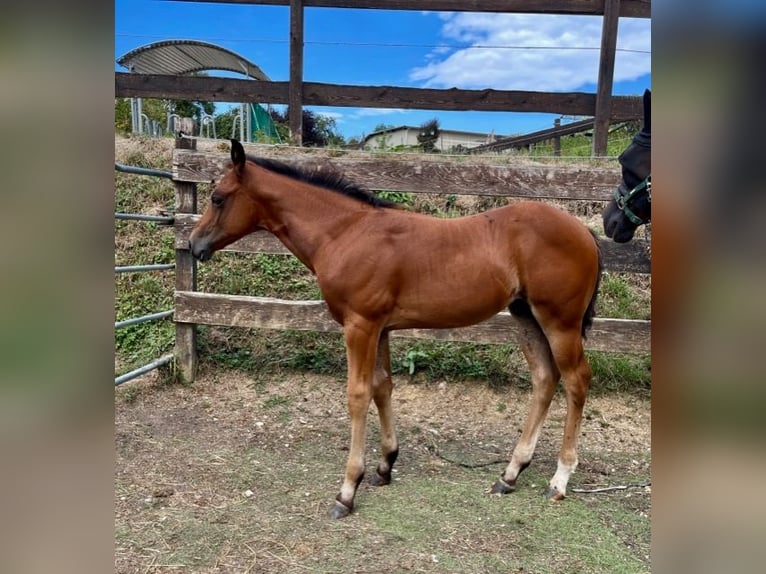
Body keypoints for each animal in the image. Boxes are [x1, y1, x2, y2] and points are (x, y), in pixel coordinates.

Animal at [190, 140, 603, 519]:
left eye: (217, 197)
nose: (194, 244)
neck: (344, 233)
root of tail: (585, 232)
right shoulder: (381, 328)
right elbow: (382, 386)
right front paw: (385, 465)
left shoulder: (360, 325)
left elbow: (357, 395)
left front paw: (347, 490)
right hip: (525, 316)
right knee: (545, 378)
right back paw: (510, 473)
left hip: (560, 322)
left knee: (577, 380)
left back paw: (559, 480)